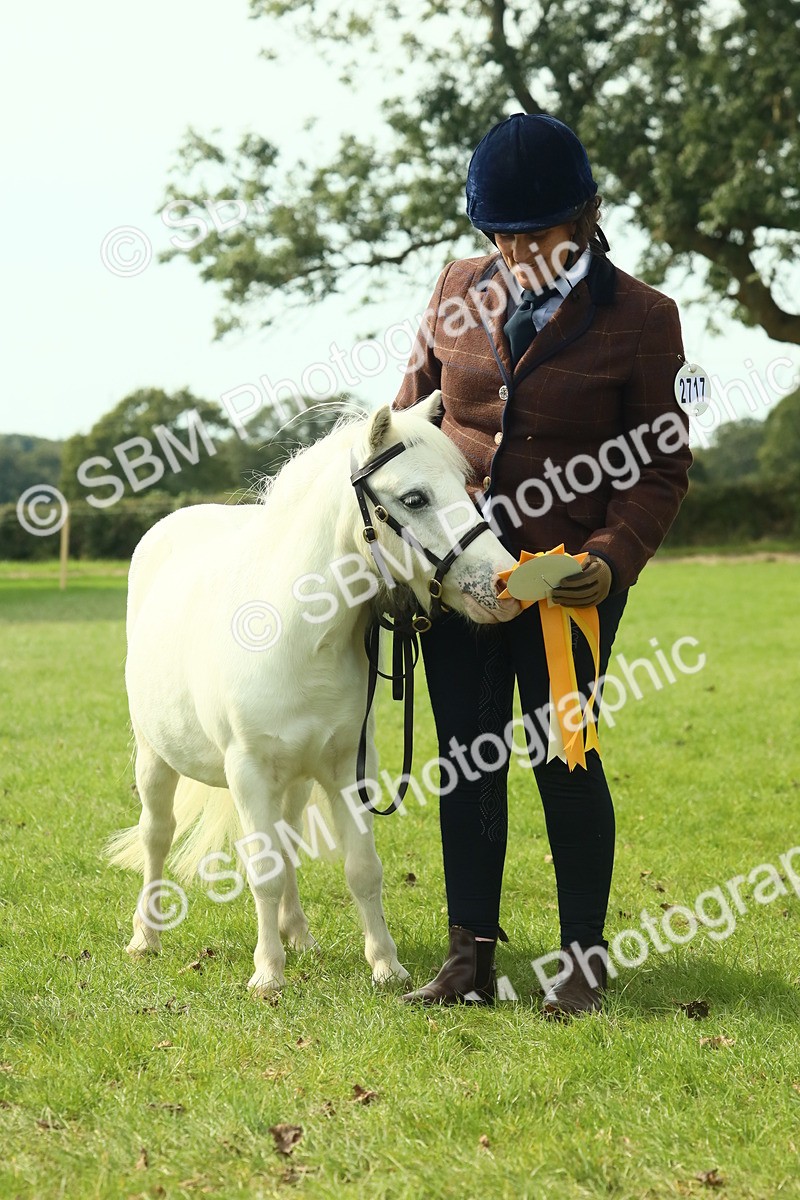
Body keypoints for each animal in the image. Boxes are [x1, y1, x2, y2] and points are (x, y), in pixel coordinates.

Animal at [106, 392, 520, 995]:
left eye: (464, 486)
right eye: (415, 498)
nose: (504, 583)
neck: (299, 636)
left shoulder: (348, 766)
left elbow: (362, 869)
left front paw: (386, 964)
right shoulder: (248, 772)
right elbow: (262, 872)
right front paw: (267, 973)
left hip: (296, 782)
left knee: (287, 843)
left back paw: (298, 934)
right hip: (154, 757)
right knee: (157, 836)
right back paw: (146, 937)